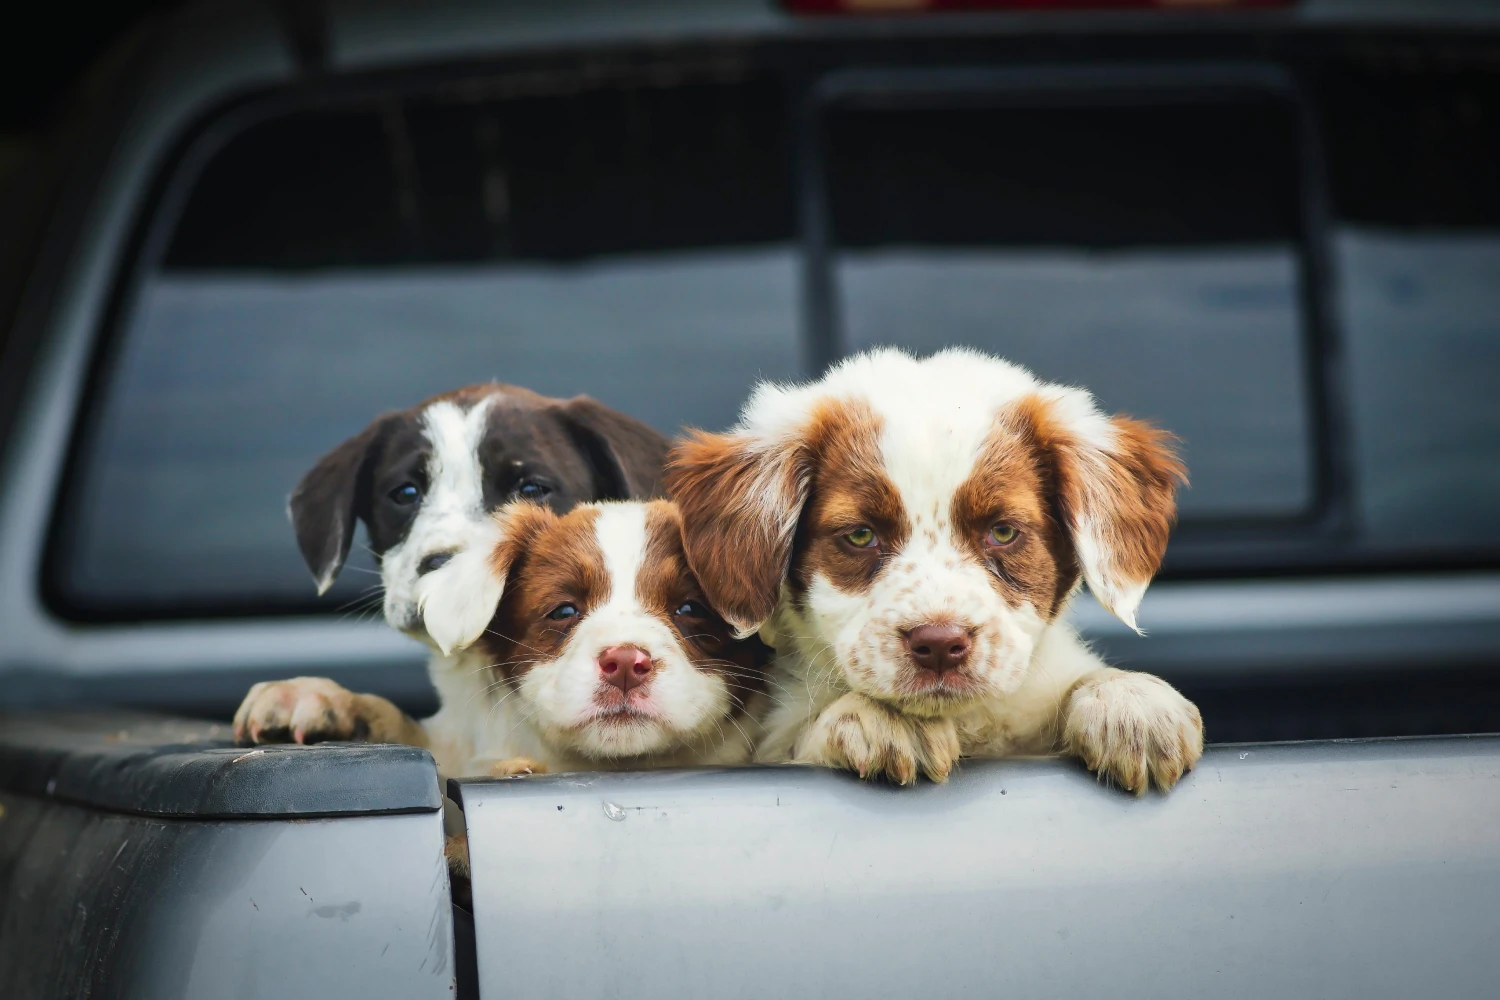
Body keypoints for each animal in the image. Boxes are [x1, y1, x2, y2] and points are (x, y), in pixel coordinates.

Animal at [669, 347, 1206, 791]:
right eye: (860, 535)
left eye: (1003, 532)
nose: (940, 644)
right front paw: (882, 719)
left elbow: (1083, 680)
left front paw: (1132, 704)